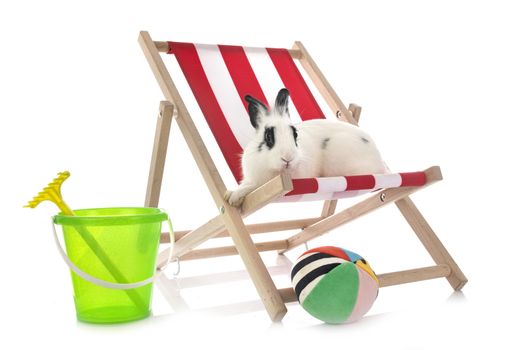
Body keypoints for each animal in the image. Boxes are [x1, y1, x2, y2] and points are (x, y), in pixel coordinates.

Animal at [224, 88, 386, 208]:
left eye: (295, 134)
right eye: (268, 137)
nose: (288, 158)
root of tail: (380, 162)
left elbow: (252, 186)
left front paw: (233, 197)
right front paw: (229, 195)